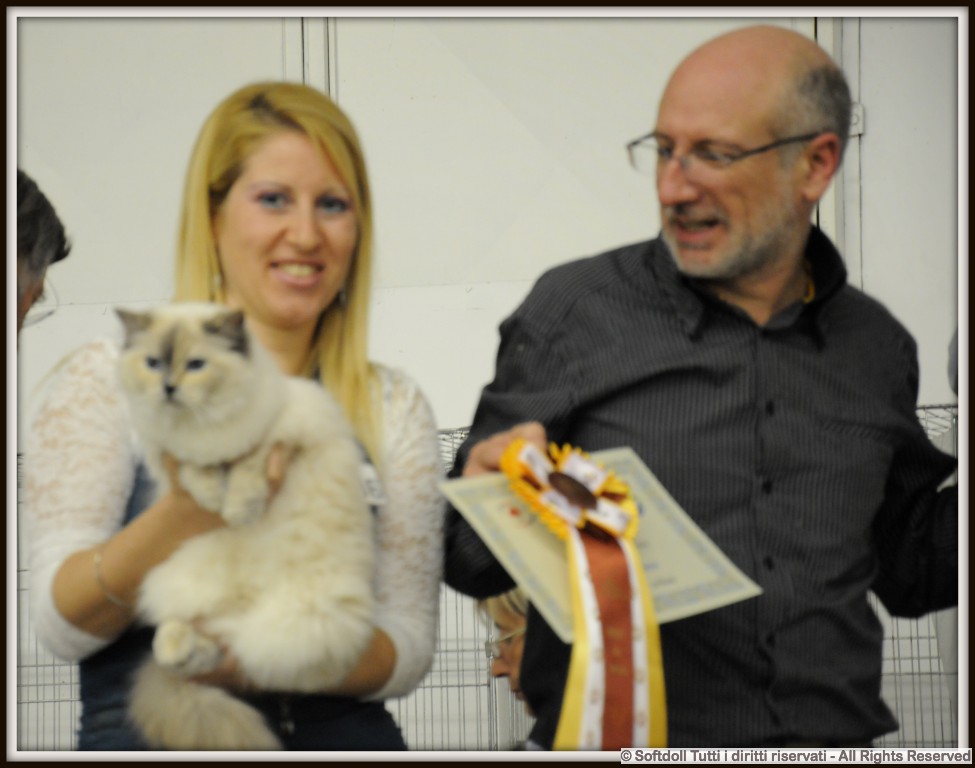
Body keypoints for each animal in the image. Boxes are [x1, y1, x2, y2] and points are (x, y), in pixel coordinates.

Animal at [114, 302, 375, 750]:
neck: (203, 428)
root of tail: (241, 607)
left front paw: (236, 511)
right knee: (190, 644)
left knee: (248, 655)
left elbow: (247, 468)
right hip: (184, 588)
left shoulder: (279, 437)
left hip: (306, 620)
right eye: (152, 363)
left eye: (196, 365)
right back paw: (174, 647)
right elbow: (194, 470)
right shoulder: (171, 454)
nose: (168, 387)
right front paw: (210, 497)